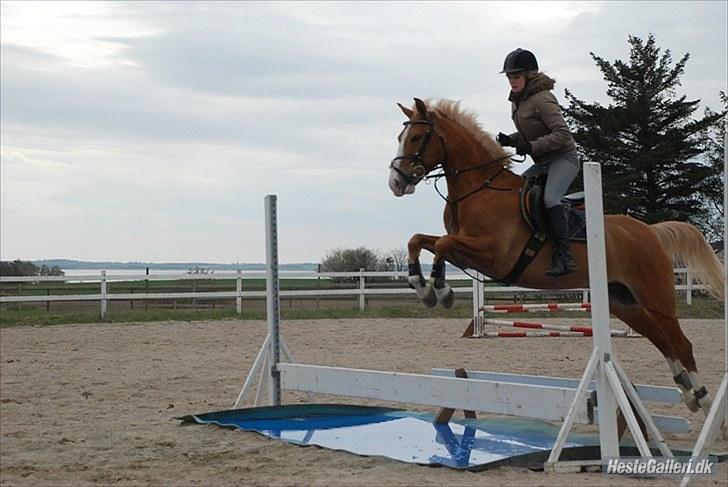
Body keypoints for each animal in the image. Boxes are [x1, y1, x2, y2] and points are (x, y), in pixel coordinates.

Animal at [386, 97, 724, 418]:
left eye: (417, 137)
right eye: (401, 137)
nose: (396, 183)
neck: (479, 189)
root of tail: (649, 231)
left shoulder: (493, 256)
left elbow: (442, 244)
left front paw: (440, 291)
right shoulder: (466, 253)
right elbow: (419, 240)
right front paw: (422, 286)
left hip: (655, 296)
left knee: (680, 343)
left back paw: (705, 402)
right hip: (624, 302)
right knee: (663, 341)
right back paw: (688, 394)